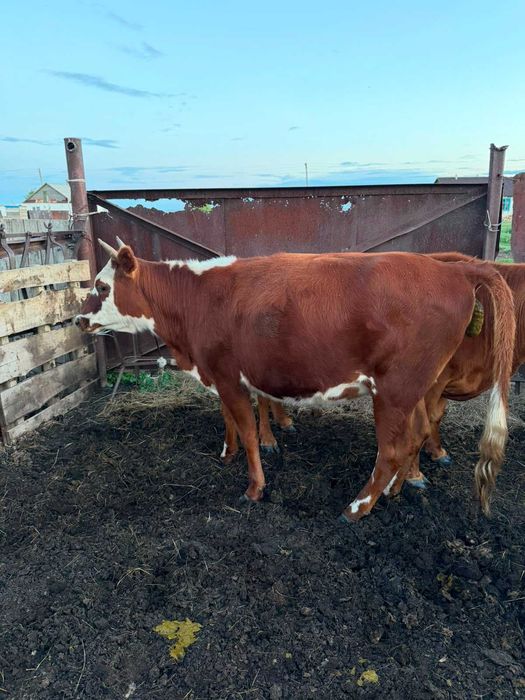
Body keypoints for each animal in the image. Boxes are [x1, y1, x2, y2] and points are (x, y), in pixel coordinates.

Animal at [75, 240, 515, 522]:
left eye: (102, 285)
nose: (78, 319)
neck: (198, 298)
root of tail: (452, 268)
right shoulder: (221, 373)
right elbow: (230, 419)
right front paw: (227, 453)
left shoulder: (229, 376)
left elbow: (248, 430)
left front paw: (254, 487)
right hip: (419, 386)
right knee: (419, 432)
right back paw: (394, 489)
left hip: (395, 390)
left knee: (392, 449)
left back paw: (357, 508)